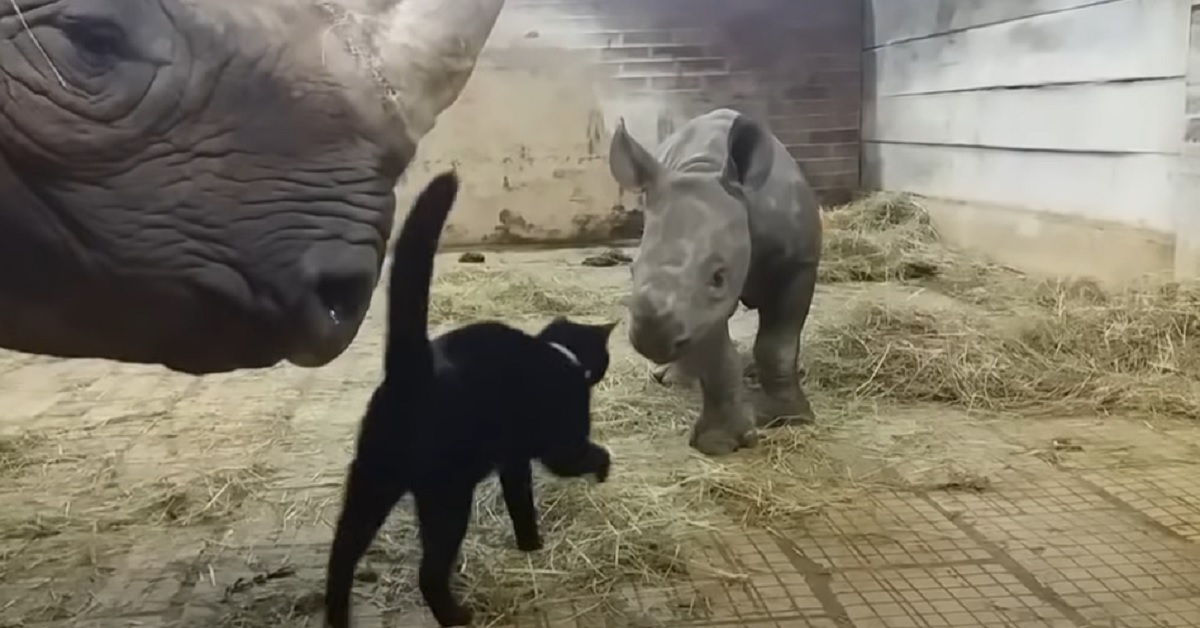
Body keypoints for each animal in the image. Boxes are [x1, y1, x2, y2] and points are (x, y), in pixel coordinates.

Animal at [324, 171, 614, 628]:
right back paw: (456, 615)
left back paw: (338, 617)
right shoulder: (561, 445)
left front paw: (530, 544)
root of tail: (414, 370)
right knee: (428, 573)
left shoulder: (513, 460)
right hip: (447, 498)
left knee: (342, 556)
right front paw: (603, 468)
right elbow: (584, 456)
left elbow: (520, 501)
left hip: (371, 481)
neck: (559, 353)